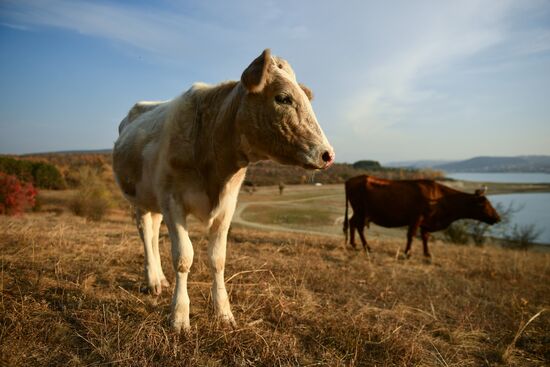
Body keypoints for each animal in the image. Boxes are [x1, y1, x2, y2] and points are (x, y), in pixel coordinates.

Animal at [113, 49, 332, 334]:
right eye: (283, 98)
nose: (327, 154)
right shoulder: (173, 201)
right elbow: (183, 257)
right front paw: (179, 316)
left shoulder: (227, 206)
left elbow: (218, 259)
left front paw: (223, 313)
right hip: (138, 198)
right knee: (144, 233)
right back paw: (152, 280)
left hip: (154, 201)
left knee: (152, 231)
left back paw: (160, 279)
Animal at [342, 176, 502, 258]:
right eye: (484, 204)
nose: (498, 218)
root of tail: (351, 180)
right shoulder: (416, 218)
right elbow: (411, 235)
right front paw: (408, 252)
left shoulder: (426, 221)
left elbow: (425, 237)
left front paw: (427, 254)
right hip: (361, 211)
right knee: (358, 226)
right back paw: (366, 247)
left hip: (360, 212)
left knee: (352, 223)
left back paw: (354, 244)